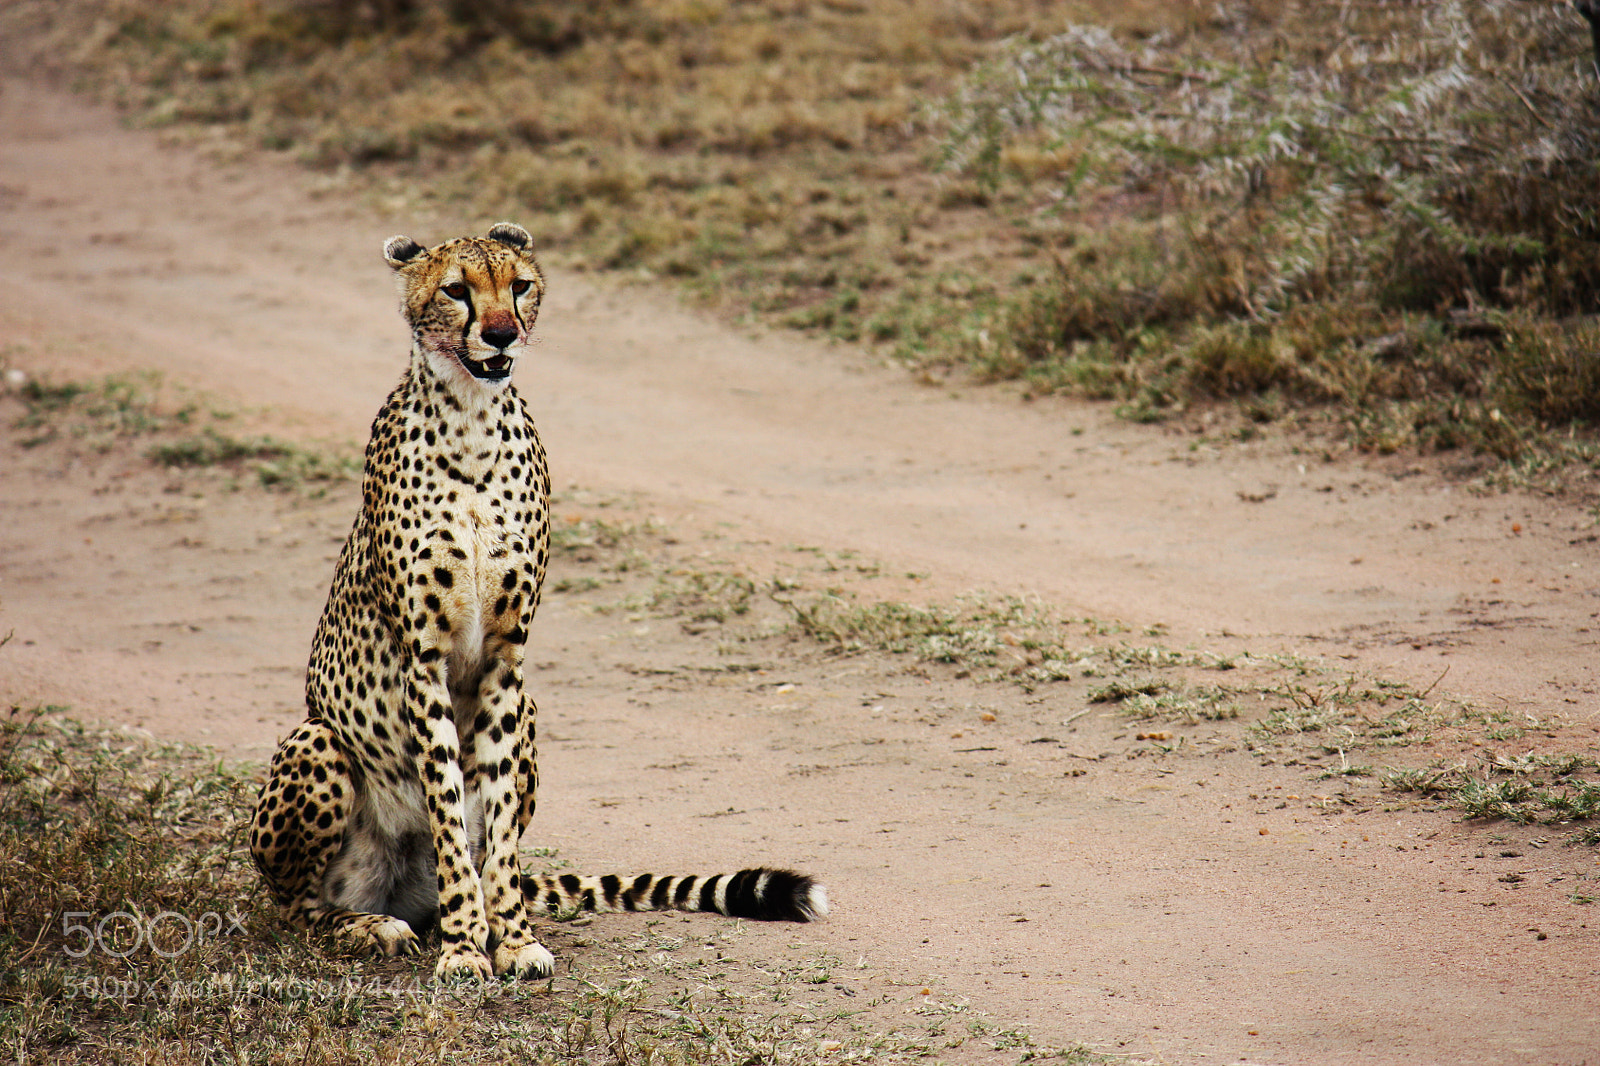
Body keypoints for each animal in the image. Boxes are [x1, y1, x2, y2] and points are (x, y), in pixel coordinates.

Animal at [249, 222, 826, 981]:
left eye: (519, 285)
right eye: (456, 290)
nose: (501, 333)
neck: (471, 423)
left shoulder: (505, 656)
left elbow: (491, 822)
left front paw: (513, 939)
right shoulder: (424, 659)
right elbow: (447, 809)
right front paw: (467, 949)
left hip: (529, 712)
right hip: (316, 742)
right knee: (295, 905)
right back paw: (369, 926)